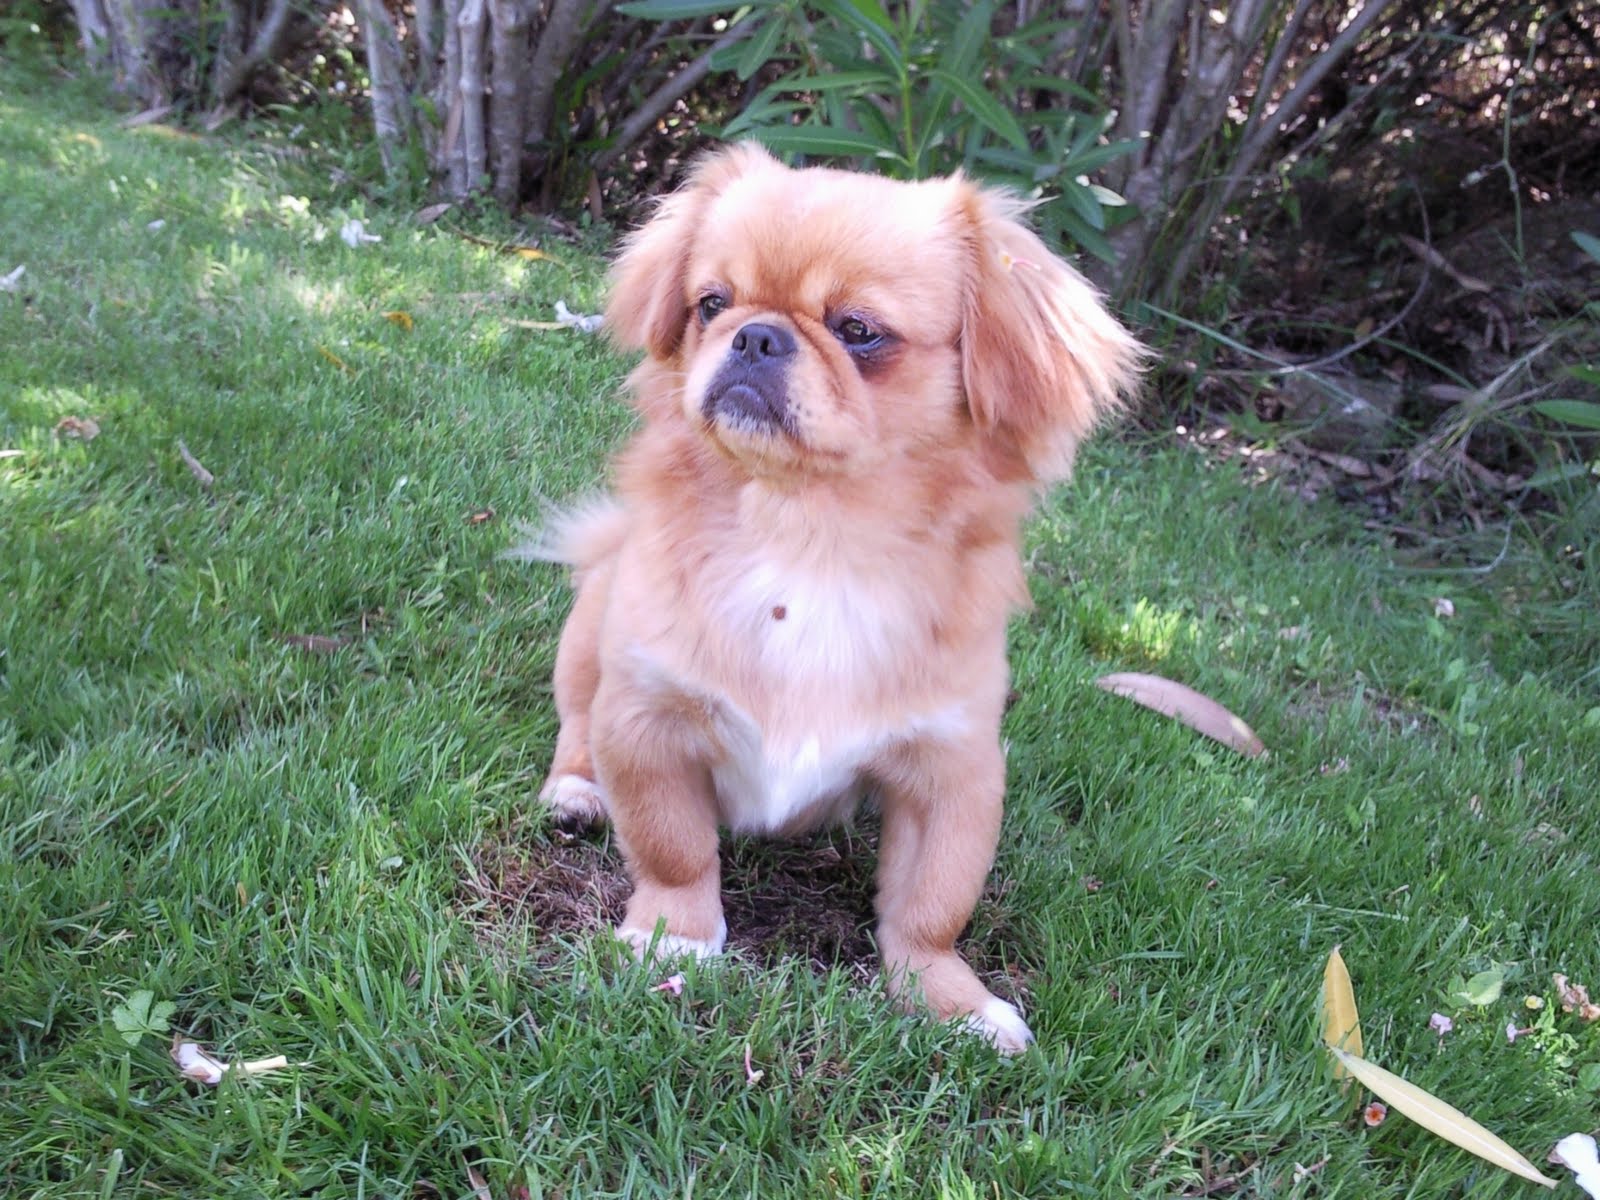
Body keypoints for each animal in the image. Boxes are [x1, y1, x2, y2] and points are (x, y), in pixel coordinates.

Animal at [532, 143, 1142, 1052]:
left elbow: (930, 907)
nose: (755, 334)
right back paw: (575, 794)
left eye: (858, 331)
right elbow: (676, 850)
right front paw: (675, 938)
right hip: (590, 636)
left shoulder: (952, 772)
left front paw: (953, 1001)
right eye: (711, 304)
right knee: (575, 726)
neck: (807, 539)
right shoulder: (646, 720)